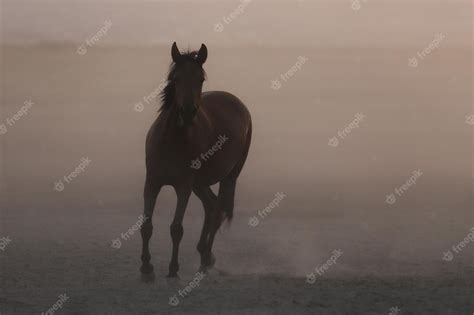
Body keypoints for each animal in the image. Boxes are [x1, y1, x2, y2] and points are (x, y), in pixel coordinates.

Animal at [140, 42, 252, 278]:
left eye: (200, 79)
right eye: (176, 78)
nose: (188, 112)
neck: (172, 141)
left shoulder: (183, 186)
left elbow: (176, 228)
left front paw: (173, 269)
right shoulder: (152, 183)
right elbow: (146, 226)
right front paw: (146, 267)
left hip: (228, 177)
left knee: (217, 210)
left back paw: (206, 258)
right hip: (199, 184)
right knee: (210, 205)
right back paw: (203, 253)